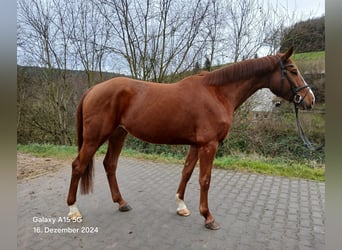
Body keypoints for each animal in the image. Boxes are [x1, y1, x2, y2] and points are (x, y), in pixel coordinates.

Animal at [65, 47, 314, 230]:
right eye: (292, 70)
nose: (310, 99)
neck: (217, 93)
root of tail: (93, 89)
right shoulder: (209, 145)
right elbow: (205, 179)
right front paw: (208, 217)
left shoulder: (196, 144)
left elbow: (186, 172)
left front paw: (181, 206)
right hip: (95, 137)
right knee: (78, 165)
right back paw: (73, 210)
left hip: (119, 134)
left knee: (110, 164)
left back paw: (122, 203)